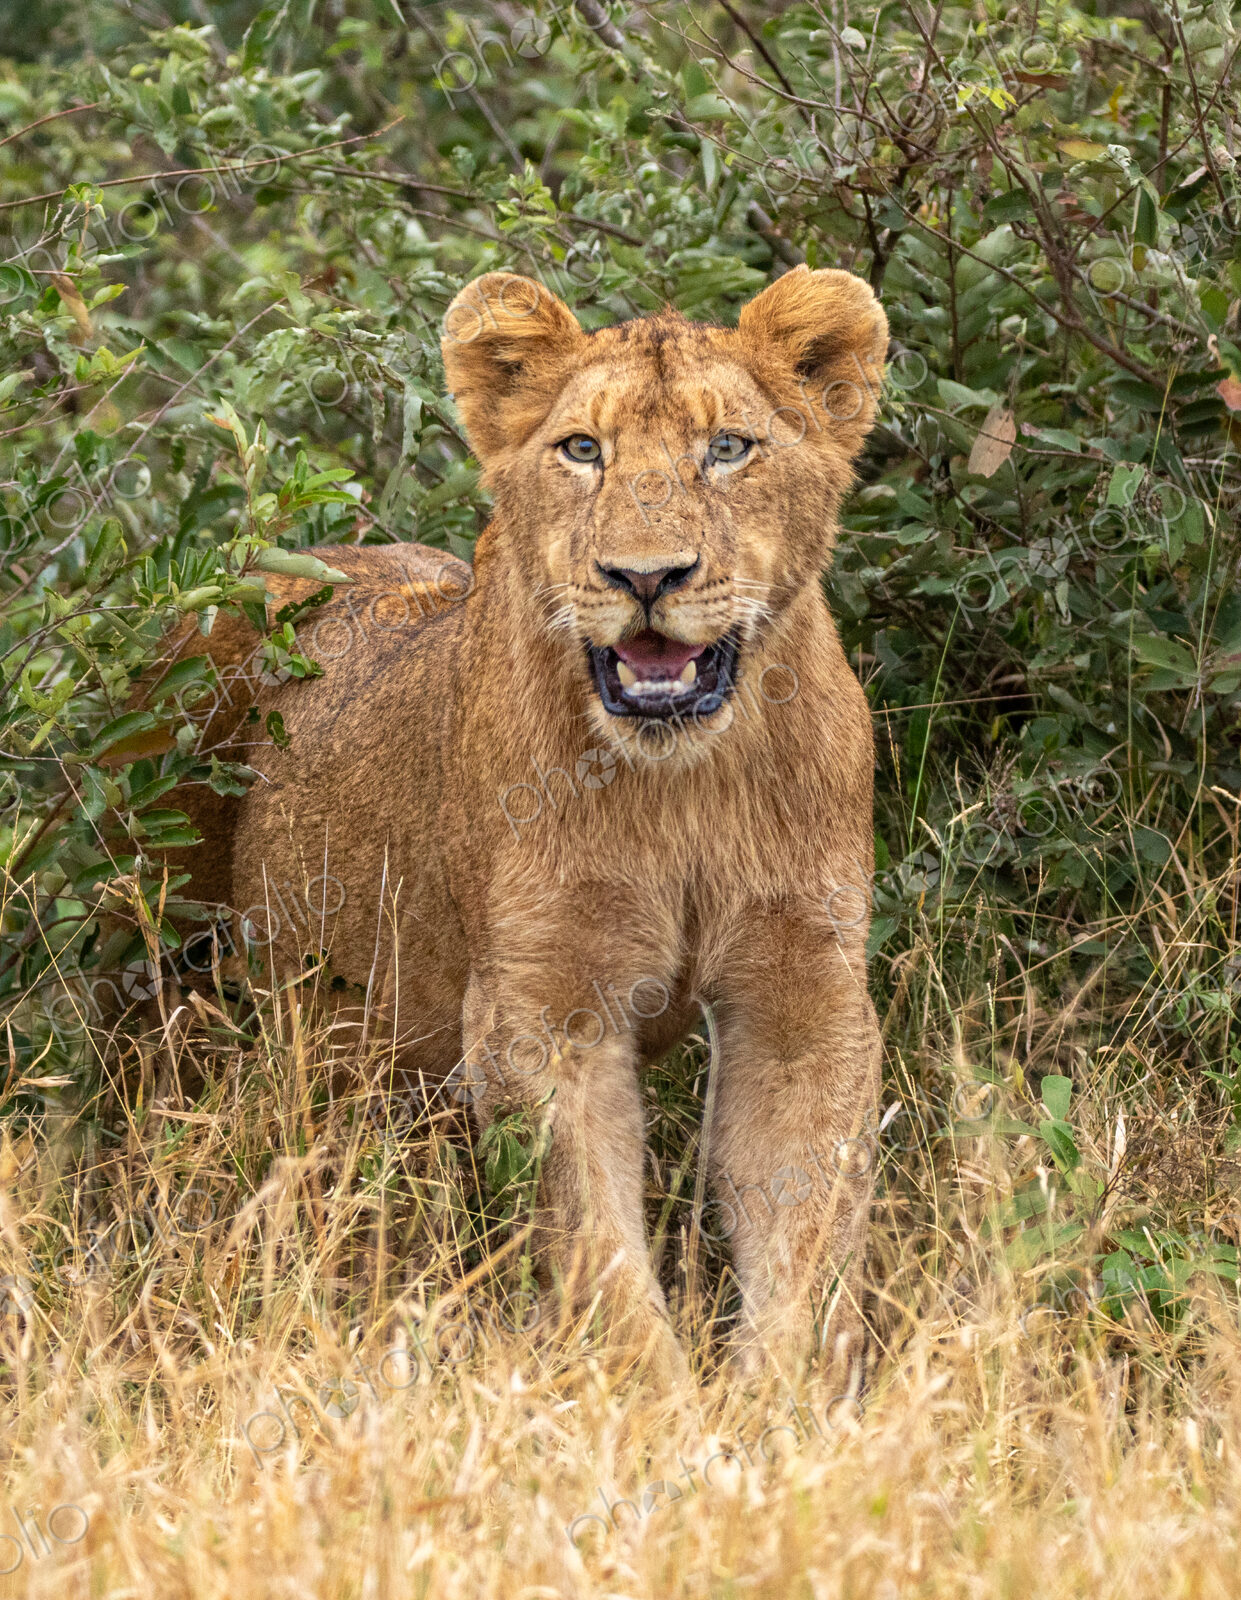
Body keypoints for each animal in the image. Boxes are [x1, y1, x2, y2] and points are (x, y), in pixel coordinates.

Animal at [162, 266, 888, 1385]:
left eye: (727, 446)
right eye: (582, 450)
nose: (646, 577)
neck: (681, 782)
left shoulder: (803, 993)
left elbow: (801, 1235)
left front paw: (779, 1403)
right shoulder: (542, 1006)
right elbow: (598, 1251)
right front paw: (656, 1411)